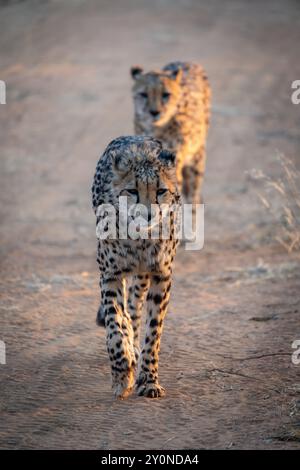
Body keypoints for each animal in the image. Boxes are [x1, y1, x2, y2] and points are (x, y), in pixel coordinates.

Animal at [91, 134, 180, 398]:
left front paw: (149, 380)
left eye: (161, 191)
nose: (148, 214)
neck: (140, 238)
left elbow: (153, 332)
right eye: (131, 190)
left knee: (135, 305)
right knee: (126, 314)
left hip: (143, 276)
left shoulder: (161, 276)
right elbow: (115, 325)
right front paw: (122, 375)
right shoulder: (110, 274)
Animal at [129, 60, 211, 204]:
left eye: (165, 94)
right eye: (143, 94)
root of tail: (186, 61)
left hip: (197, 157)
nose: (154, 112)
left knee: (194, 195)